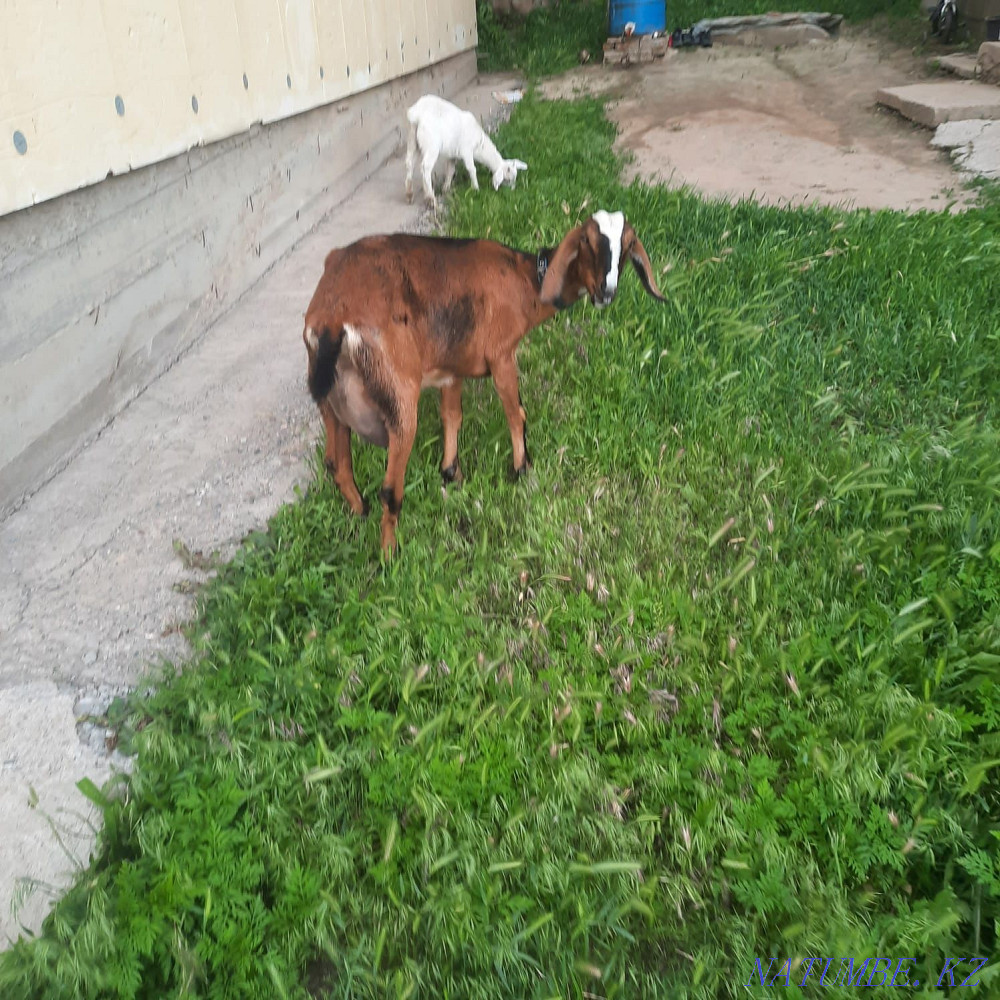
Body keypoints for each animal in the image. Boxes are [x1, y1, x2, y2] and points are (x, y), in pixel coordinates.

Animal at [303, 210, 666, 555]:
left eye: (627, 246)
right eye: (588, 241)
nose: (607, 292)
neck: (524, 281)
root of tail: (332, 318)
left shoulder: (451, 368)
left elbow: (453, 416)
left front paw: (452, 473)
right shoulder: (502, 355)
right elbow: (515, 413)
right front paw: (521, 469)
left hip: (330, 399)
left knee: (337, 463)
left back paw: (360, 513)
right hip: (398, 394)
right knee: (390, 489)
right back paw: (389, 553)